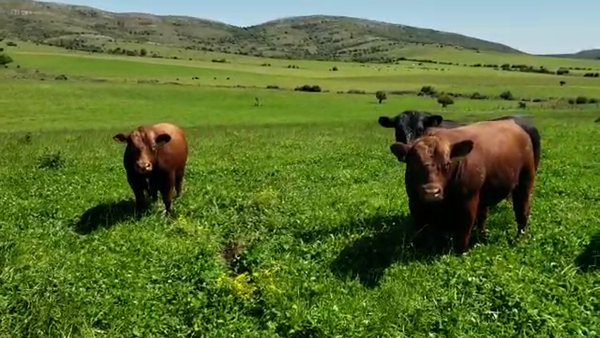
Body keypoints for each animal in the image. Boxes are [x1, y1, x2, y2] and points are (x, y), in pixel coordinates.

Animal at [392, 119, 536, 254]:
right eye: (413, 165)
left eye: (447, 164)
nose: (431, 192)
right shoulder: (414, 202)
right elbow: (420, 229)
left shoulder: (468, 201)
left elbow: (464, 229)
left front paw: (461, 252)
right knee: (483, 215)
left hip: (525, 182)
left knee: (522, 211)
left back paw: (520, 238)